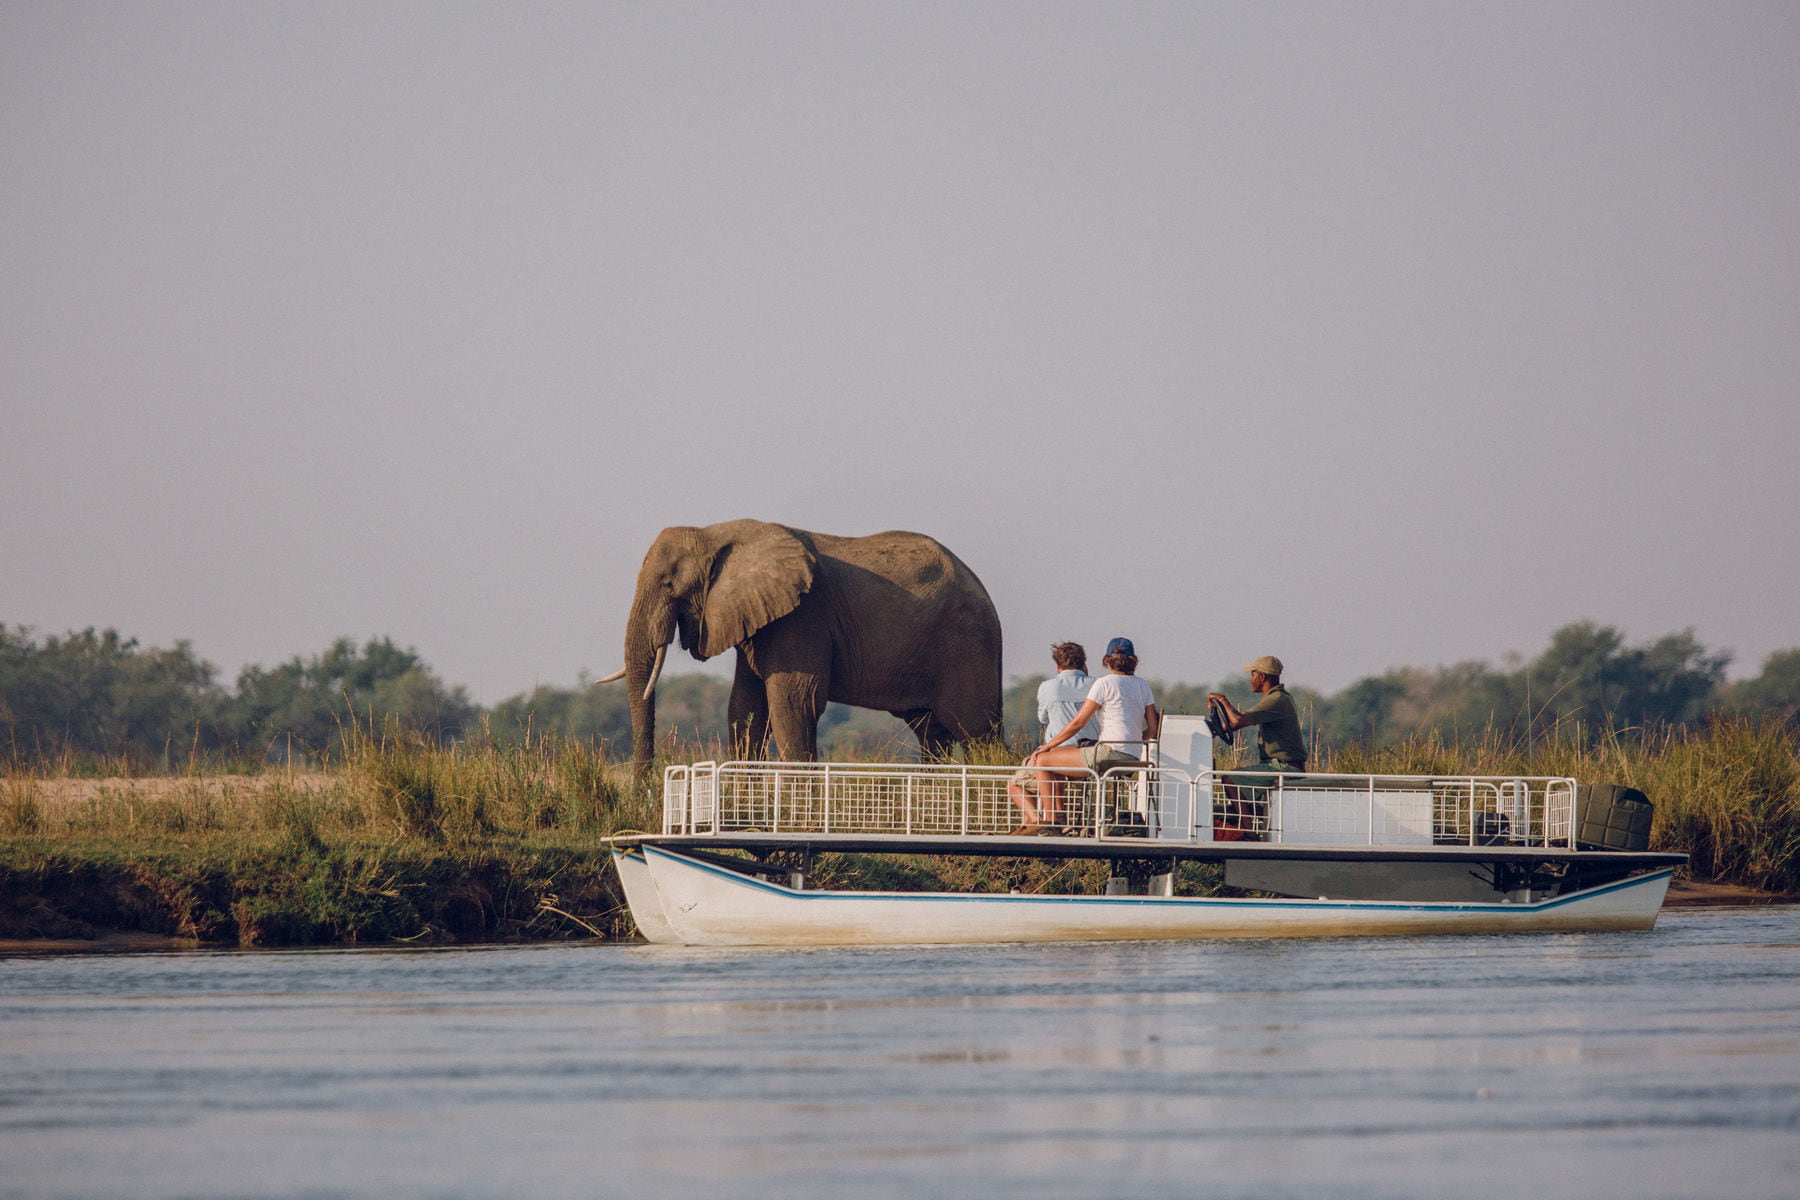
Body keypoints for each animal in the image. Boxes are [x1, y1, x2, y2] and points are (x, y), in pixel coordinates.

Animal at [599, 520, 1003, 774]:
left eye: (669, 585)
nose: (642, 795)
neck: (714, 534)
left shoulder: (801, 617)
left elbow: (794, 703)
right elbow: (745, 708)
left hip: (966, 646)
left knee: (977, 730)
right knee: (932, 734)